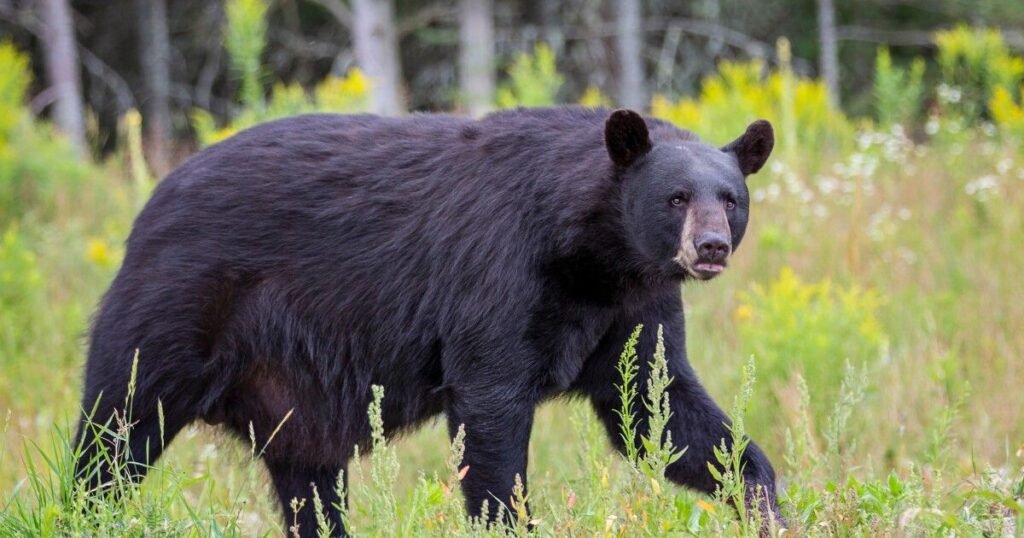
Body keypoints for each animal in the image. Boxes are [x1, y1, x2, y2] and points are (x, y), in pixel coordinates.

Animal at [73, 107, 779, 536]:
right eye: (676, 198)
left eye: (731, 199)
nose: (711, 247)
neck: (594, 257)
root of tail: (153, 200)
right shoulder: (497, 275)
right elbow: (491, 410)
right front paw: (507, 519)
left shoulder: (634, 308)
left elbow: (657, 407)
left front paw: (764, 504)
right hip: (171, 313)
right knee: (113, 433)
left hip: (289, 397)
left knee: (311, 486)